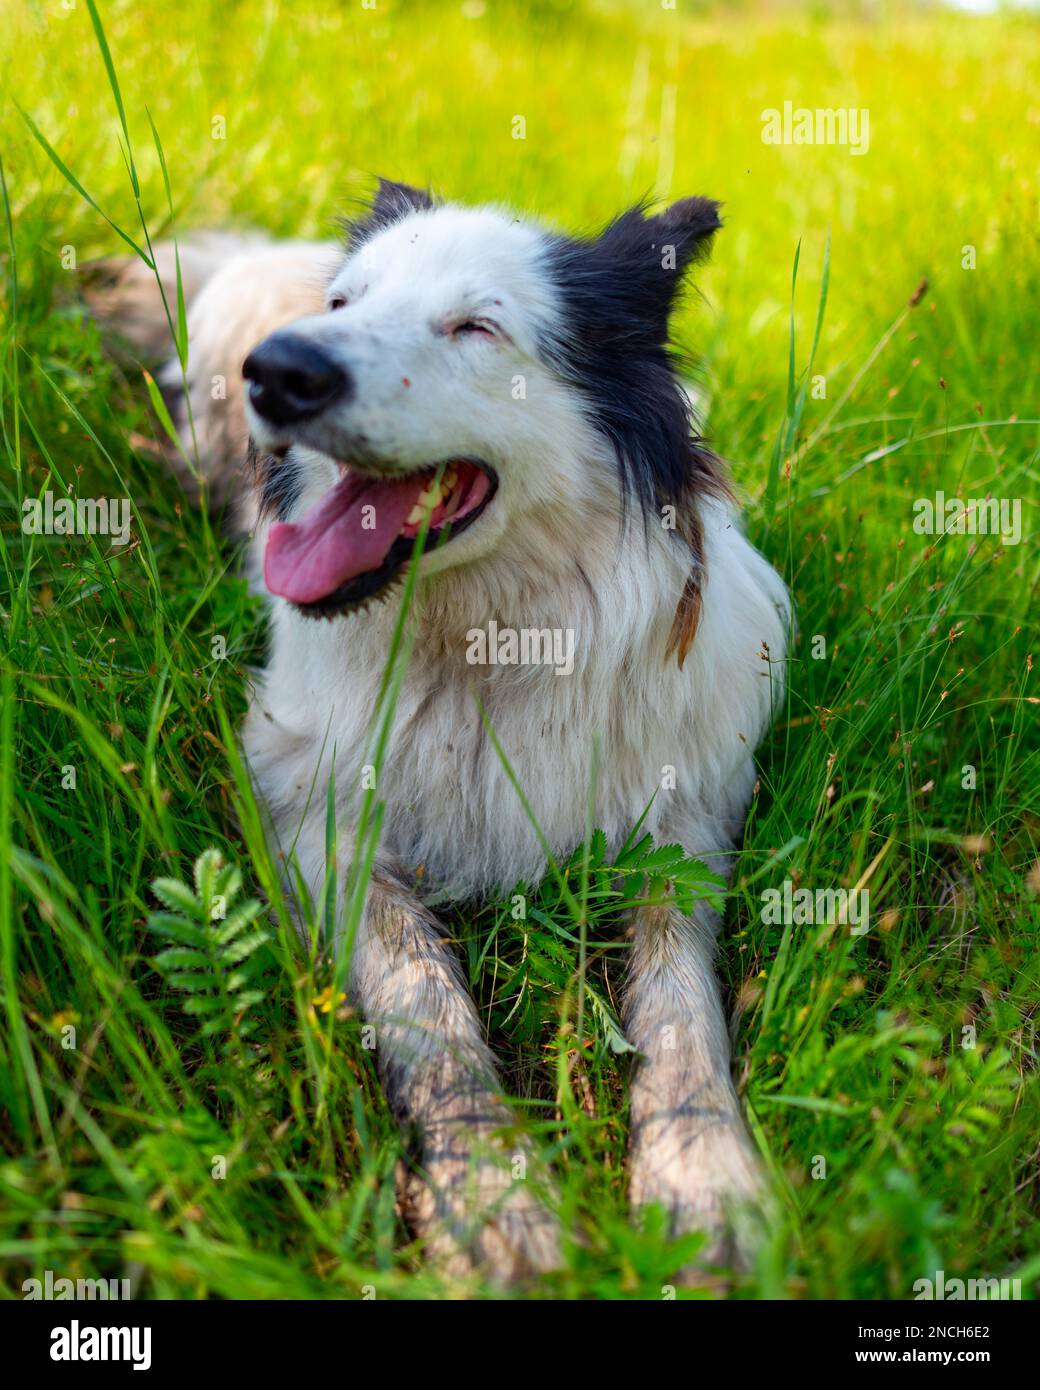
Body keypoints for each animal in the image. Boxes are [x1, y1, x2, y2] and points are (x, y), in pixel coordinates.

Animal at [93, 179, 789, 1284]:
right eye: (344, 304)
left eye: (475, 327)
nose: (280, 369)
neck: (487, 644)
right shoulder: (318, 819)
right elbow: (427, 1006)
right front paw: (499, 1209)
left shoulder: (684, 826)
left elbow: (682, 1006)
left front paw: (705, 1183)